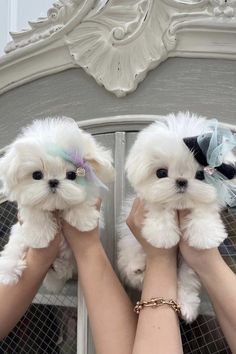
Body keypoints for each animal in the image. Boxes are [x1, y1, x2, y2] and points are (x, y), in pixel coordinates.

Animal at [0, 117, 114, 292]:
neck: (56, 206)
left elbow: (81, 199)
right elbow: (35, 212)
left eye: (72, 175)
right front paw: (40, 237)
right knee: (13, 251)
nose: (53, 181)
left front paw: (84, 220)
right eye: (37, 175)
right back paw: (9, 272)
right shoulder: (28, 205)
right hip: (18, 239)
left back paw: (60, 266)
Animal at [118, 111, 236, 324]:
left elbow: (203, 211)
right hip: (130, 244)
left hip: (186, 266)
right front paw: (162, 236)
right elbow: (160, 208)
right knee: (131, 263)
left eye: (201, 175)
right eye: (161, 173)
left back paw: (187, 307)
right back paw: (137, 268)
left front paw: (205, 235)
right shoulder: (150, 201)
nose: (181, 181)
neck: (180, 205)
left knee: (186, 282)